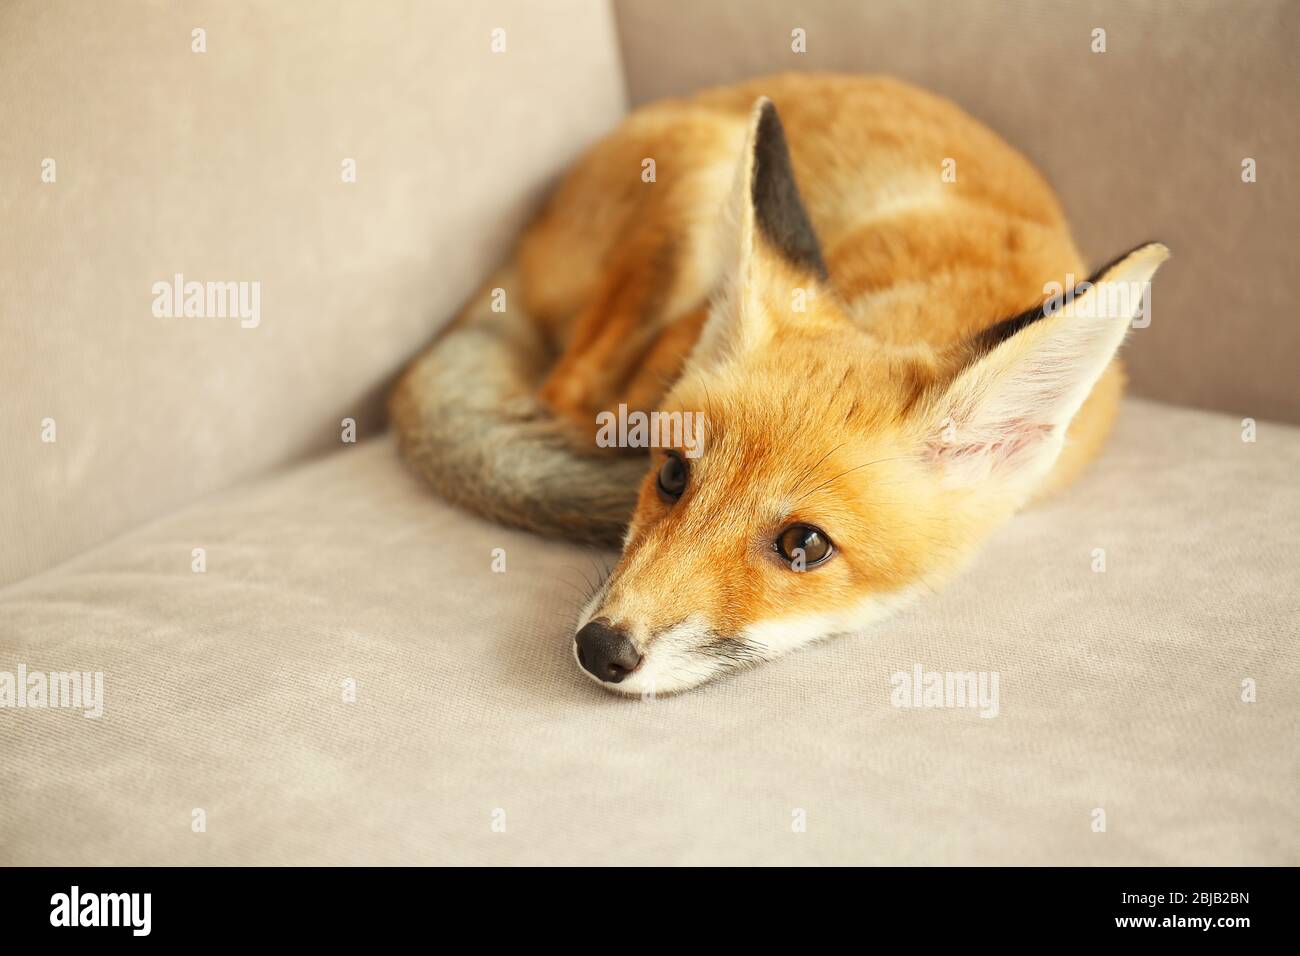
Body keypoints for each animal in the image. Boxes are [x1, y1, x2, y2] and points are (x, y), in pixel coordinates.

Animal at [391, 73, 1168, 696]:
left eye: (806, 546)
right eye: (671, 475)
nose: (599, 648)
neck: (921, 291)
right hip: (696, 186)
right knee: (565, 391)